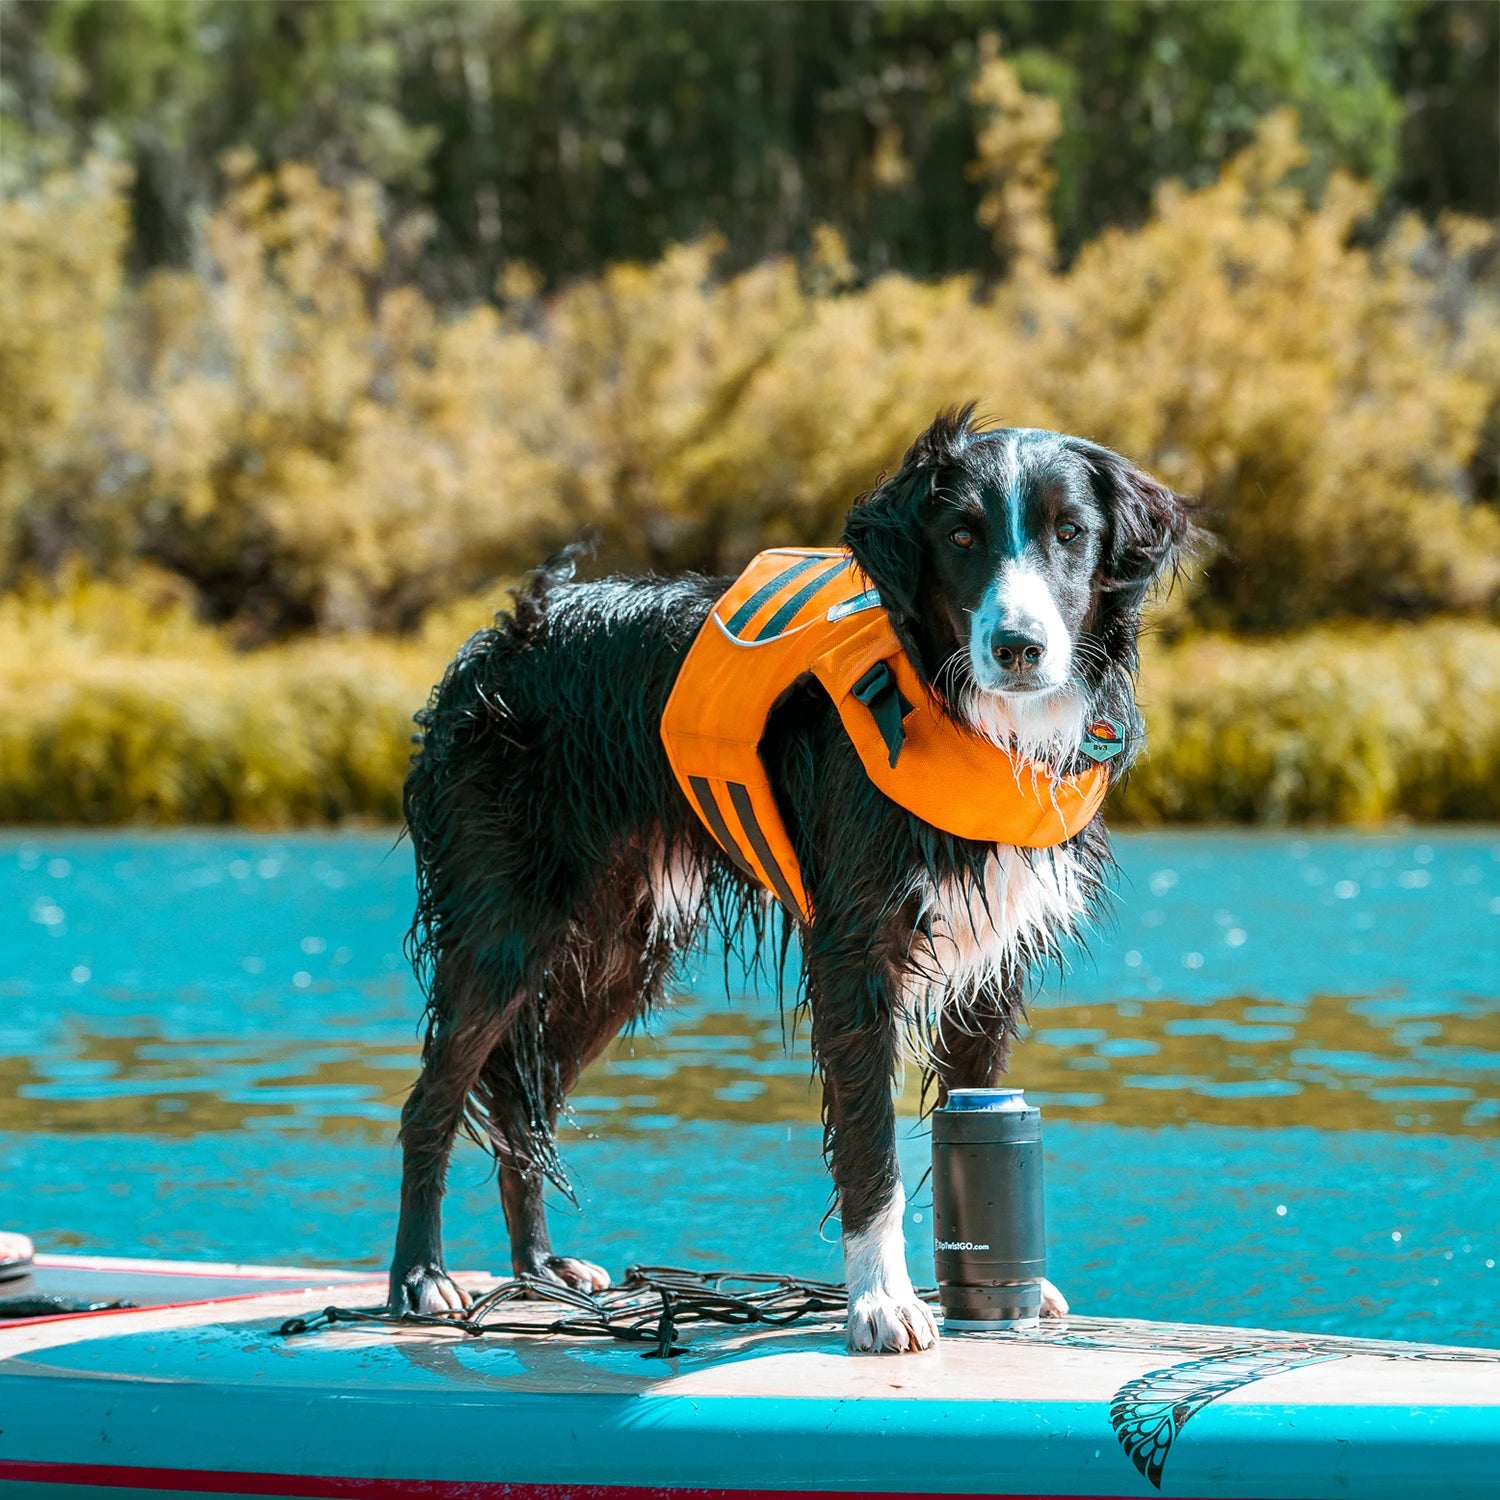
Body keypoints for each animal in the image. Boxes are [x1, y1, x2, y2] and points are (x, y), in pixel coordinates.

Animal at [393, 405, 1188, 1356]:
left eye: (1071, 533)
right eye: (961, 536)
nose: (1018, 649)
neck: (968, 715)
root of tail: (500, 639)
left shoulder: (992, 962)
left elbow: (973, 1098)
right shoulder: (857, 950)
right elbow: (871, 1143)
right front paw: (881, 1303)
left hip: (620, 953)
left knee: (524, 1103)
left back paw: (539, 1272)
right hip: (505, 932)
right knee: (435, 1097)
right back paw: (422, 1277)